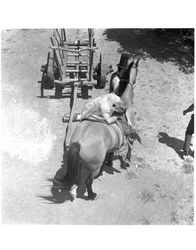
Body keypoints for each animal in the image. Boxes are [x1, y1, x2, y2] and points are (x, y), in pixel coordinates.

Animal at [53, 58, 139, 199]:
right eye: (137, 70)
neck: (124, 99)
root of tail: (79, 143)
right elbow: (130, 146)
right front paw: (126, 161)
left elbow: (110, 154)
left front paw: (109, 162)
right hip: (94, 168)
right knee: (88, 181)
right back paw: (92, 195)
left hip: (80, 164)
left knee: (77, 178)